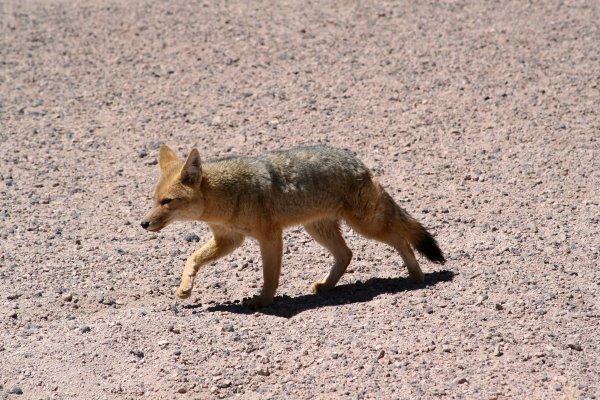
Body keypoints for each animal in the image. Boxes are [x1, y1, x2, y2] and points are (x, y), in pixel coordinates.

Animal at [142, 145, 446, 308]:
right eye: (154, 200)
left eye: (167, 202)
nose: (144, 223)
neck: (226, 195)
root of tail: (361, 164)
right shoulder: (229, 240)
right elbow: (192, 258)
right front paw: (186, 287)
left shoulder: (270, 237)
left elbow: (270, 276)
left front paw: (263, 301)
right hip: (318, 229)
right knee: (346, 254)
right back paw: (327, 285)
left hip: (367, 226)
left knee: (400, 239)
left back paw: (416, 275)